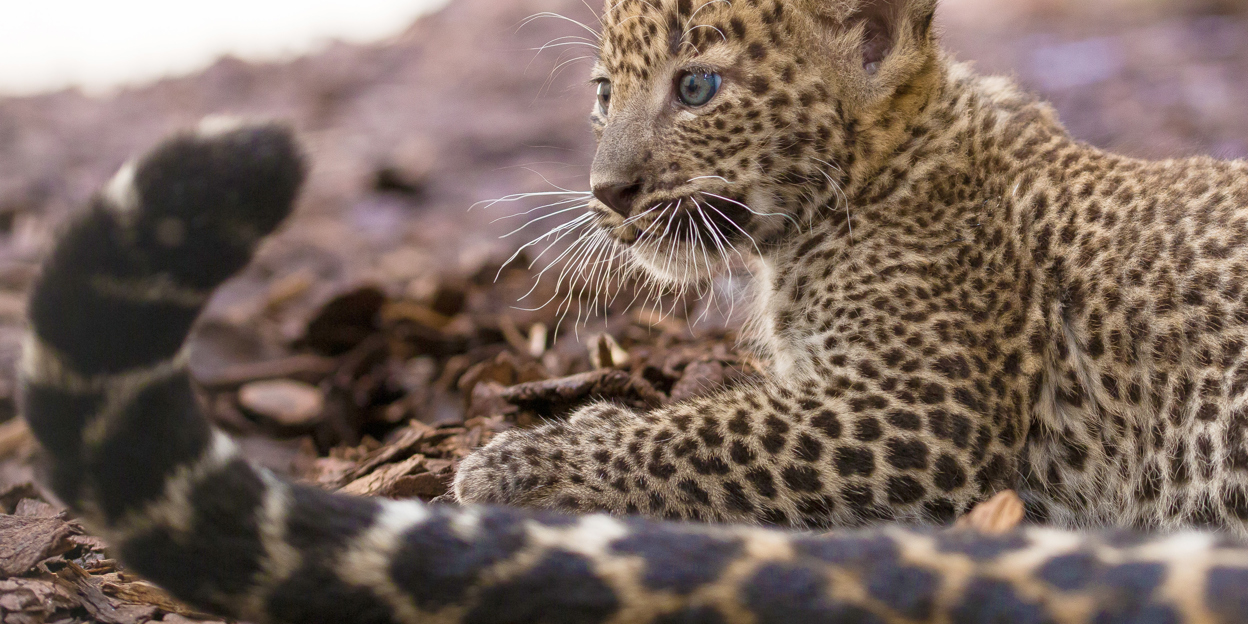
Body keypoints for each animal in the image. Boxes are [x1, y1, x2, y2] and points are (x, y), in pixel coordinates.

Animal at [17, 0, 1248, 623]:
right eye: (604, 92)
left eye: (698, 88)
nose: (607, 192)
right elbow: (732, 418)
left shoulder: (921, 409)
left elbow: (721, 434)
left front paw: (529, 461)